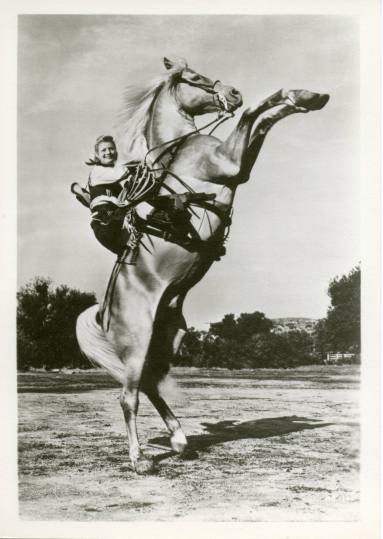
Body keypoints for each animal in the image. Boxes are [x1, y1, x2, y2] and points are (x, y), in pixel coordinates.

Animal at [77, 57, 330, 474]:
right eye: (193, 77)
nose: (232, 92)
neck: (182, 147)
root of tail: (103, 312)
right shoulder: (231, 164)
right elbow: (253, 114)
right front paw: (297, 96)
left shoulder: (239, 165)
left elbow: (262, 119)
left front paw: (307, 96)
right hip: (138, 341)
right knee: (129, 397)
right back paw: (140, 460)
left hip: (166, 341)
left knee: (150, 385)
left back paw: (181, 441)